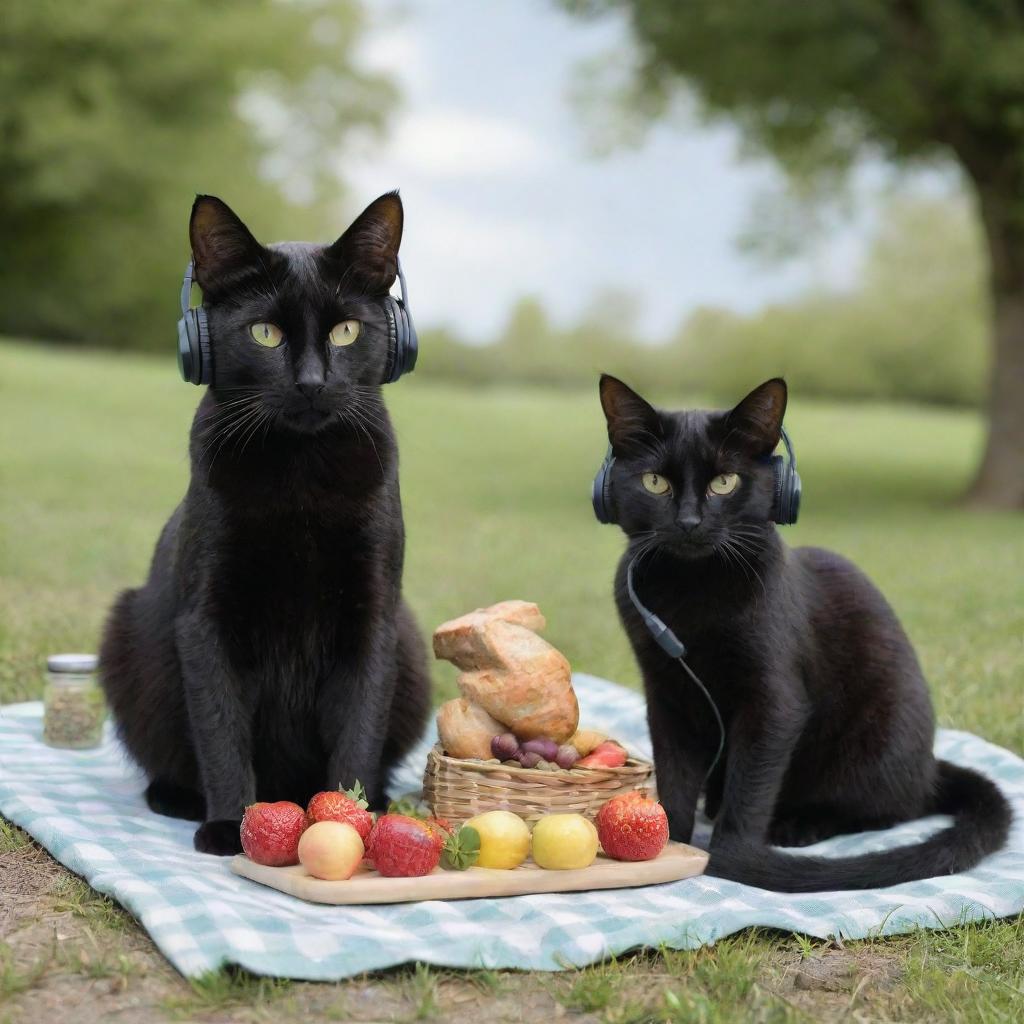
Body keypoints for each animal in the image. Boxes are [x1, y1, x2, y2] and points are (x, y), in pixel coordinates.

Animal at [97, 192, 430, 856]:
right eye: (265, 334)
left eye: (346, 330)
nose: (311, 383)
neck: (300, 476)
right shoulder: (206, 618)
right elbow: (221, 728)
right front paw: (232, 825)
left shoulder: (375, 618)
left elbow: (358, 731)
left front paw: (349, 822)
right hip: (126, 639)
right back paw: (176, 799)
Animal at [598, 374, 1011, 888]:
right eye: (655, 482)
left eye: (724, 482)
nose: (689, 522)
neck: (691, 590)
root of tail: (931, 765)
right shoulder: (666, 693)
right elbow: (674, 775)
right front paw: (670, 842)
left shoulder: (774, 701)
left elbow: (750, 788)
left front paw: (732, 857)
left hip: (873, 740)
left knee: (888, 809)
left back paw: (800, 825)